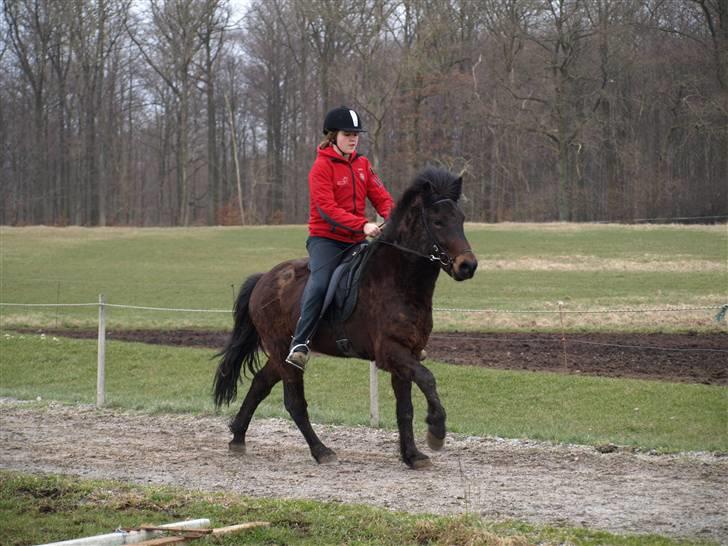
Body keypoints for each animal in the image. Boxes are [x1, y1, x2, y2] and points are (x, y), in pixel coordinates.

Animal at [213, 167, 478, 468]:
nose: (467, 266)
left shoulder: (407, 353)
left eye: (461, 219)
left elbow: (405, 408)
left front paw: (412, 455)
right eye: (437, 221)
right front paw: (436, 430)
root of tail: (263, 279)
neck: (400, 282)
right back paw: (320, 450)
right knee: (294, 403)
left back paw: (238, 438)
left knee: (259, 384)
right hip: (283, 351)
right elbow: (428, 379)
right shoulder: (391, 352)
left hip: (279, 354)